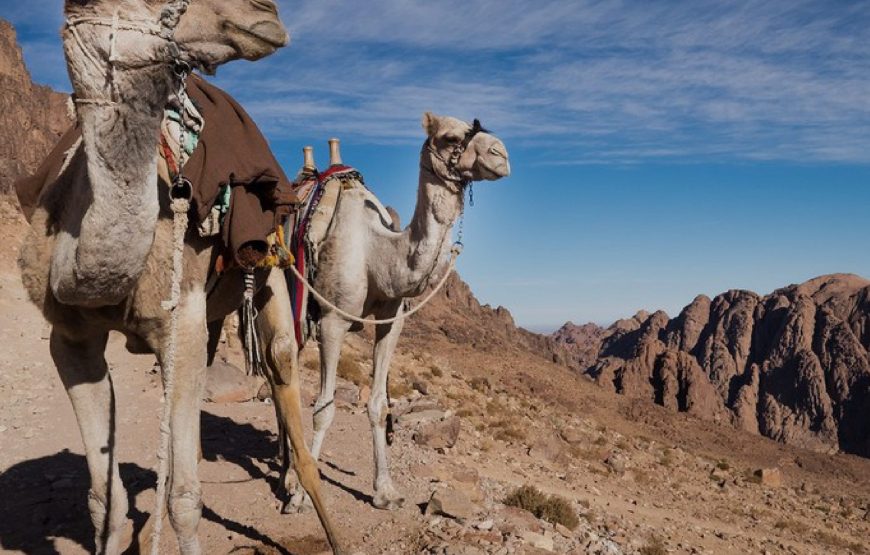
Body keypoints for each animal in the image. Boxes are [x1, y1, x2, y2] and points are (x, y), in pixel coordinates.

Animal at [17, 1, 344, 555]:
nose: (268, 13)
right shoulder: (69, 339)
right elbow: (105, 502)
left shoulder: (180, 322)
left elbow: (187, 502)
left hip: (271, 264)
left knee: (280, 358)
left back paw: (312, 507)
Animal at [282, 112, 508, 512]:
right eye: (450, 137)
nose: (502, 154)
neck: (376, 252)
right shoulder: (332, 321)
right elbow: (324, 408)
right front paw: (304, 497)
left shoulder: (392, 320)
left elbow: (378, 404)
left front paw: (385, 491)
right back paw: (287, 475)